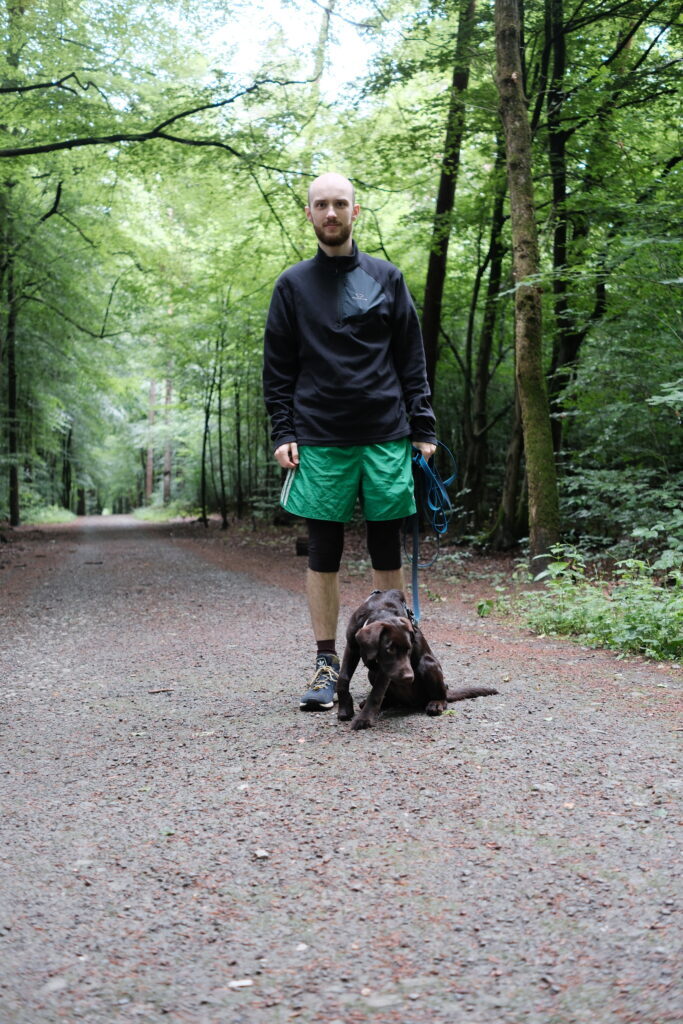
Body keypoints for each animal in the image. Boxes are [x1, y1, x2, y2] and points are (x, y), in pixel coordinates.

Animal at [336, 589, 497, 731]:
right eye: (390, 649)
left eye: (409, 649)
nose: (409, 677)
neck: (380, 611)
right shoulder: (352, 647)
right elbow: (343, 678)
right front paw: (345, 709)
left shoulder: (385, 669)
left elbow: (376, 693)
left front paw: (364, 719)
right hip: (373, 674)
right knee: (391, 699)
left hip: (427, 664)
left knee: (442, 697)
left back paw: (436, 703)